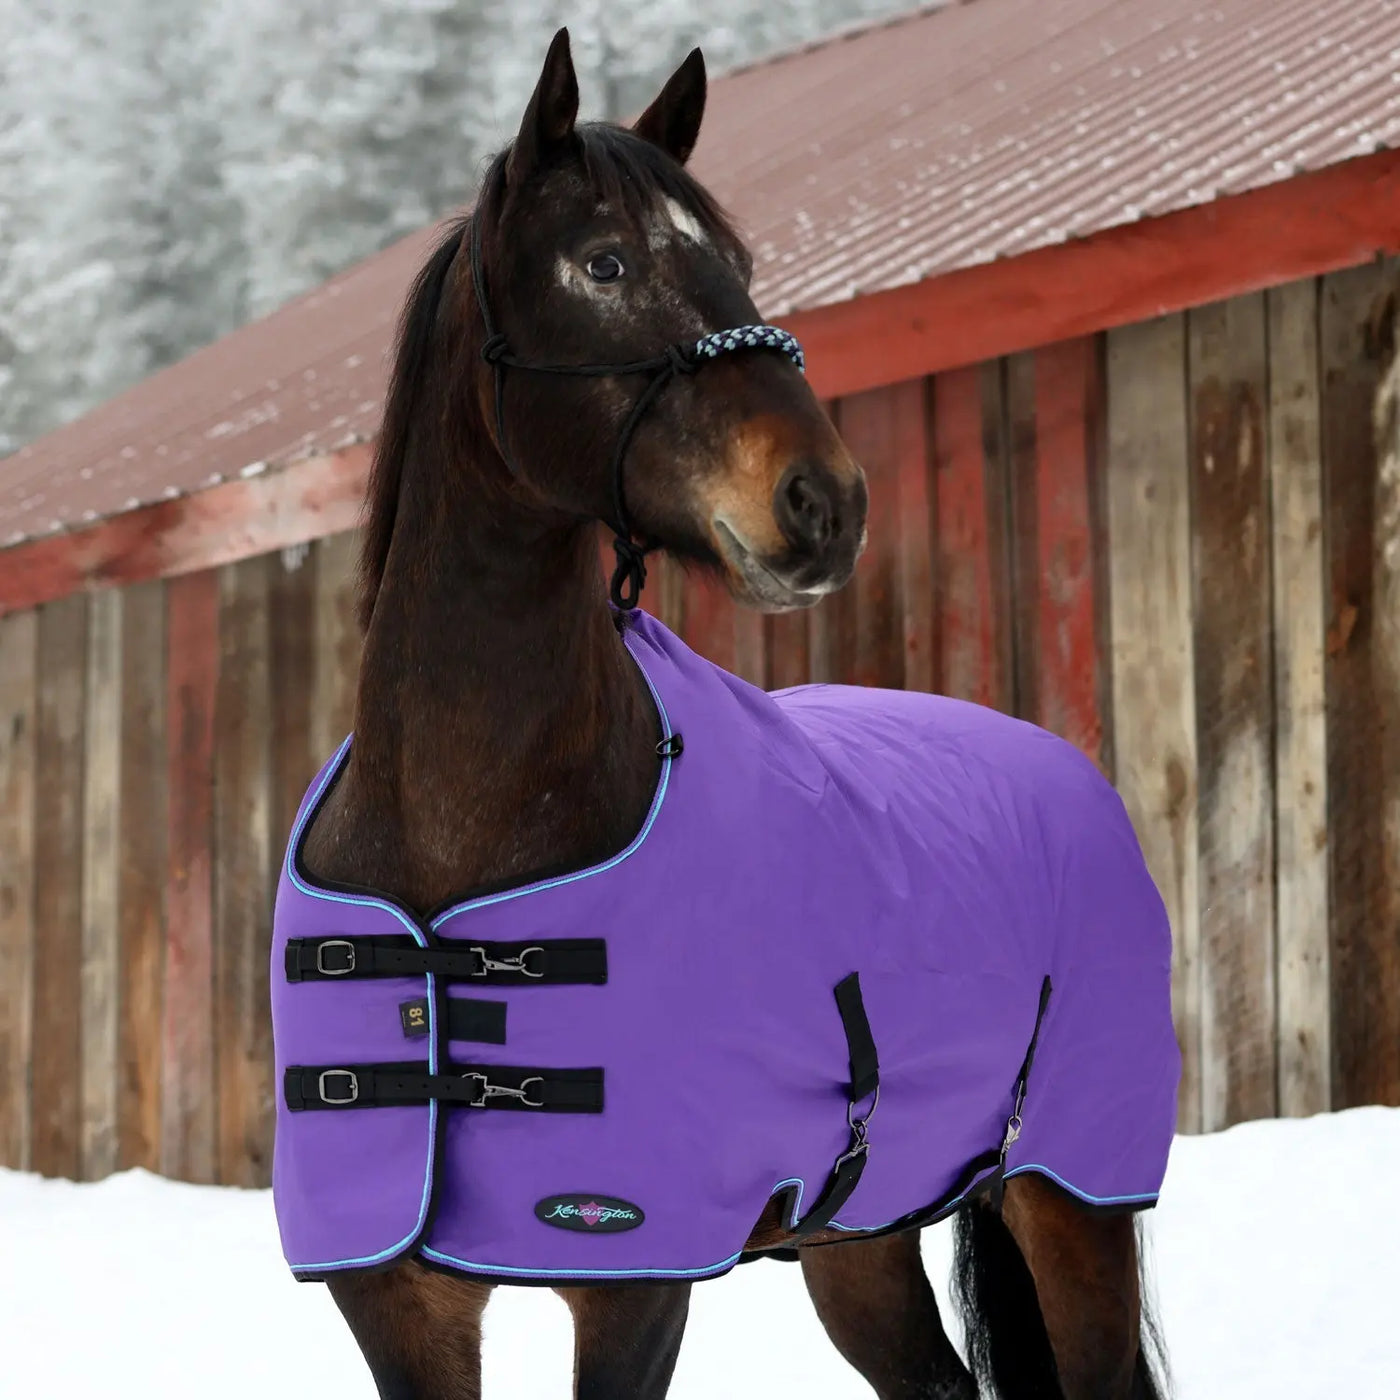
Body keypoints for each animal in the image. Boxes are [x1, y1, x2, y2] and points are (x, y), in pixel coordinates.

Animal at [286, 29, 1172, 1400]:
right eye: (603, 262)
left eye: (738, 264)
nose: (824, 502)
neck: (455, 836)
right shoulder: (399, 1305)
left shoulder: (638, 1283)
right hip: (856, 1239)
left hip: (1068, 1192)